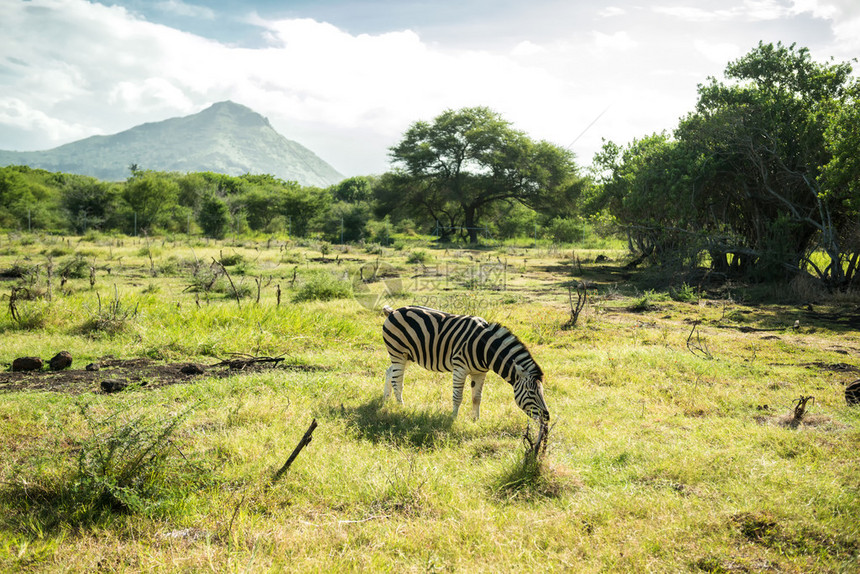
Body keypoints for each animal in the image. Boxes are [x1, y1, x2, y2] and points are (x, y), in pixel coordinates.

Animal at [380, 306, 548, 424]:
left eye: (542, 392)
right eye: (531, 393)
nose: (547, 417)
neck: (484, 348)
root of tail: (393, 311)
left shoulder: (480, 372)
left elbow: (477, 397)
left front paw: (476, 420)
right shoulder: (460, 369)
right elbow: (457, 396)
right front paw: (453, 418)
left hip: (408, 356)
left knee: (389, 372)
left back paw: (386, 399)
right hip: (398, 353)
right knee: (397, 380)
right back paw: (400, 406)